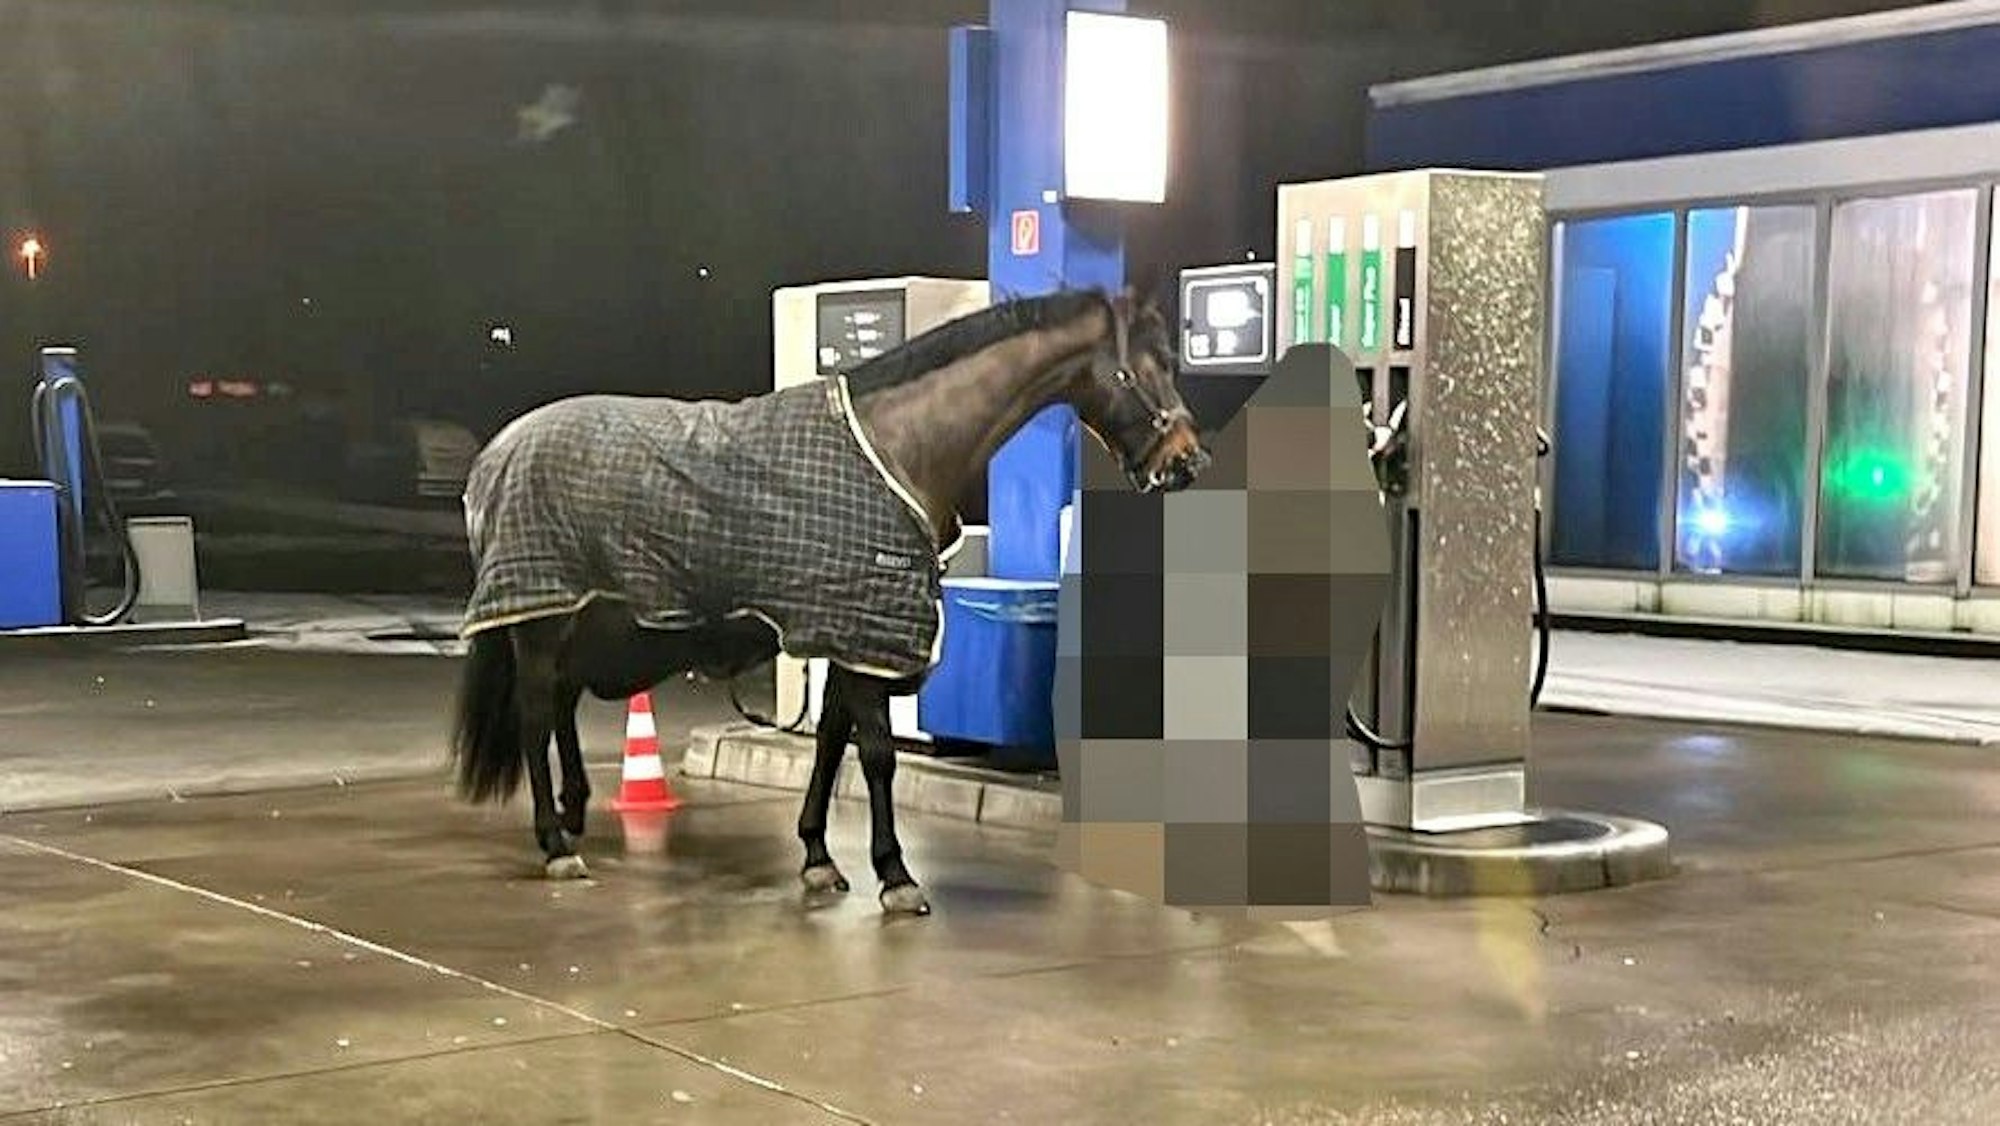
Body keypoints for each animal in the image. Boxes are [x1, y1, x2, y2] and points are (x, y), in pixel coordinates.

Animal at [448, 287, 1209, 916]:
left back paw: (573, 816)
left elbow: (830, 743)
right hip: (543, 621)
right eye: (1141, 369)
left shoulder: (846, 632)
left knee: (560, 709)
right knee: (534, 717)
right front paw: (896, 875)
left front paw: (817, 857)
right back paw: (556, 844)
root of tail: (495, 454)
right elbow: (875, 754)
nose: (1186, 461)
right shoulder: (863, 633)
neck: (898, 446)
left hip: (577, 620)